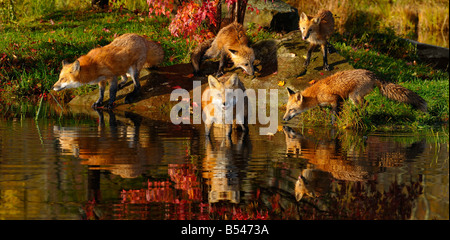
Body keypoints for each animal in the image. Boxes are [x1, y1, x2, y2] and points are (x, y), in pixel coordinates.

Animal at [284, 69, 428, 122]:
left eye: (291, 110)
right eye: (286, 109)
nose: (284, 119)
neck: (316, 95)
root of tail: (373, 74)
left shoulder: (335, 99)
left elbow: (334, 115)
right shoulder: (340, 100)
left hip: (354, 96)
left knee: (364, 105)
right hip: (356, 97)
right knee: (366, 104)